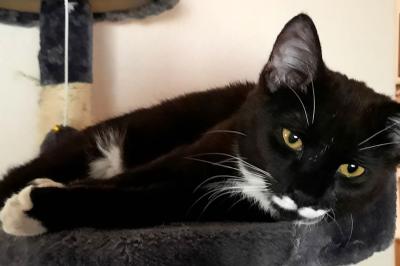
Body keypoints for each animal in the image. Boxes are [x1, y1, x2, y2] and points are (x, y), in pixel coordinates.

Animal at [0, 13, 400, 236]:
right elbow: (131, 178)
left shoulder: (238, 209)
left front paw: (32, 210)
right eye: (292, 137)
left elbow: (145, 202)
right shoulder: (208, 142)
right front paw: (38, 193)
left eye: (352, 169)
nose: (305, 195)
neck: (249, 178)